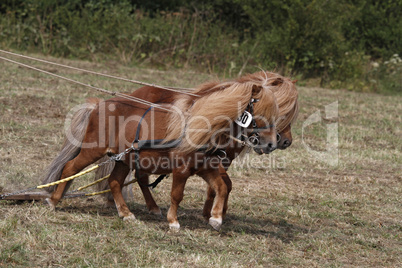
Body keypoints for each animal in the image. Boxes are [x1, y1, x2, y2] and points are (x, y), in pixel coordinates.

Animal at [40, 71, 282, 230]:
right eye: (261, 111)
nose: (272, 144)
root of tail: (99, 104)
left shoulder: (206, 167)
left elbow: (222, 187)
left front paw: (215, 218)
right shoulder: (182, 168)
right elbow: (177, 194)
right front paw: (173, 221)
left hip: (124, 159)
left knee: (115, 182)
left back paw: (126, 213)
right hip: (93, 150)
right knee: (70, 167)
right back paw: (53, 201)